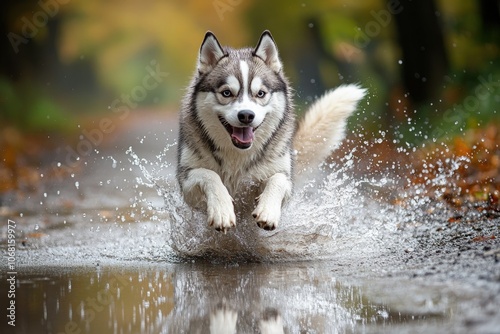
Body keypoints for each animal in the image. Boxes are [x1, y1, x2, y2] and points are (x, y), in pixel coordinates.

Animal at [178, 30, 366, 232]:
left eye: (260, 93)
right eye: (227, 93)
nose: (246, 115)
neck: (237, 155)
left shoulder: (282, 176)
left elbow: (278, 180)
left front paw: (268, 211)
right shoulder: (187, 182)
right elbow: (209, 175)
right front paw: (222, 210)